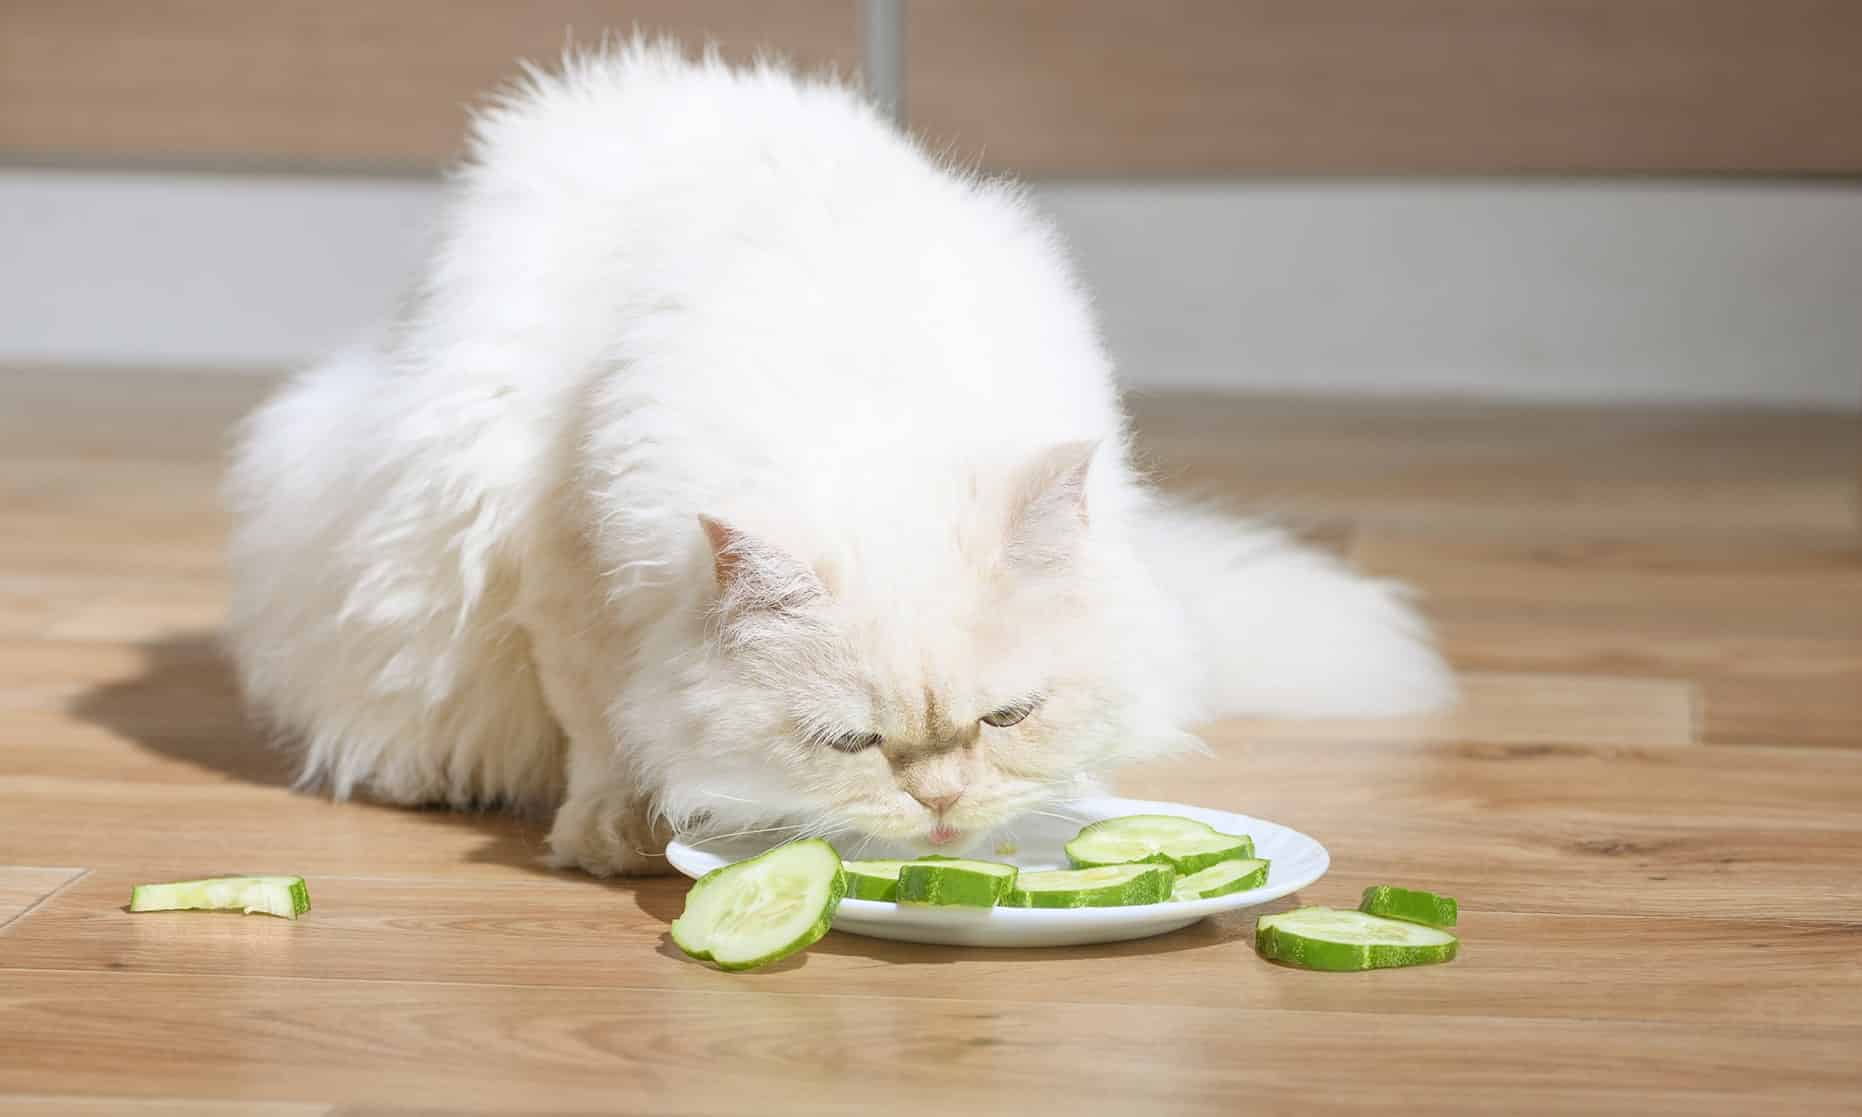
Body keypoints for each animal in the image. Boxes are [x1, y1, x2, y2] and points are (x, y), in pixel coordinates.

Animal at [225, 41, 1452, 871]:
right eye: (852, 741)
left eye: (1006, 719)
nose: (940, 806)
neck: (869, 402)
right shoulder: (559, 565)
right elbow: (603, 723)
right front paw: (613, 829)